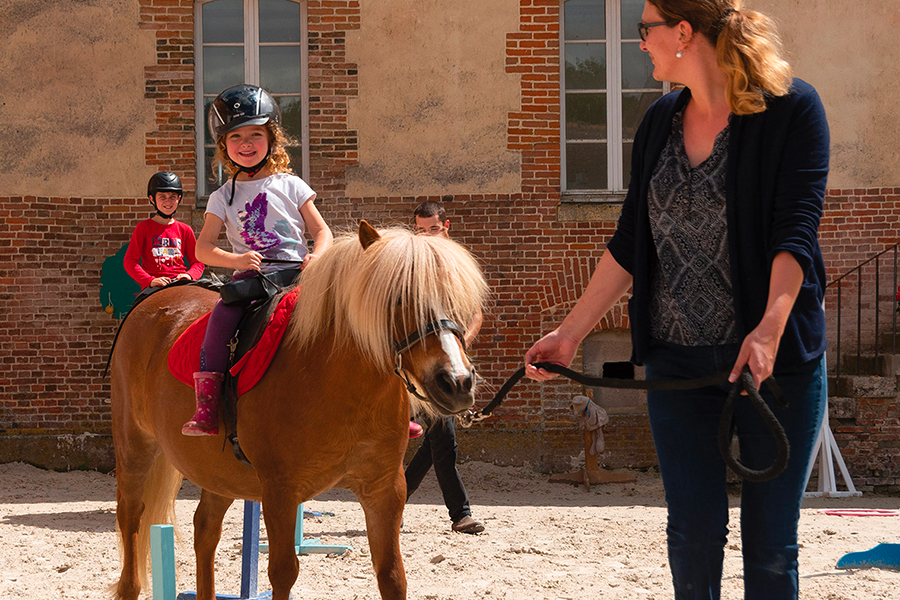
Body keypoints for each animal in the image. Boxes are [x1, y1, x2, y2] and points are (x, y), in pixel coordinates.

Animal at [113, 221, 492, 600]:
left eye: (458, 301)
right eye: (398, 297)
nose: (457, 382)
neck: (342, 383)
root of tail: (158, 293)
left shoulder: (385, 489)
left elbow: (393, 576)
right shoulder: (280, 492)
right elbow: (283, 573)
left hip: (218, 471)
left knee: (204, 528)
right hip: (135, 448)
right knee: (131, 517)